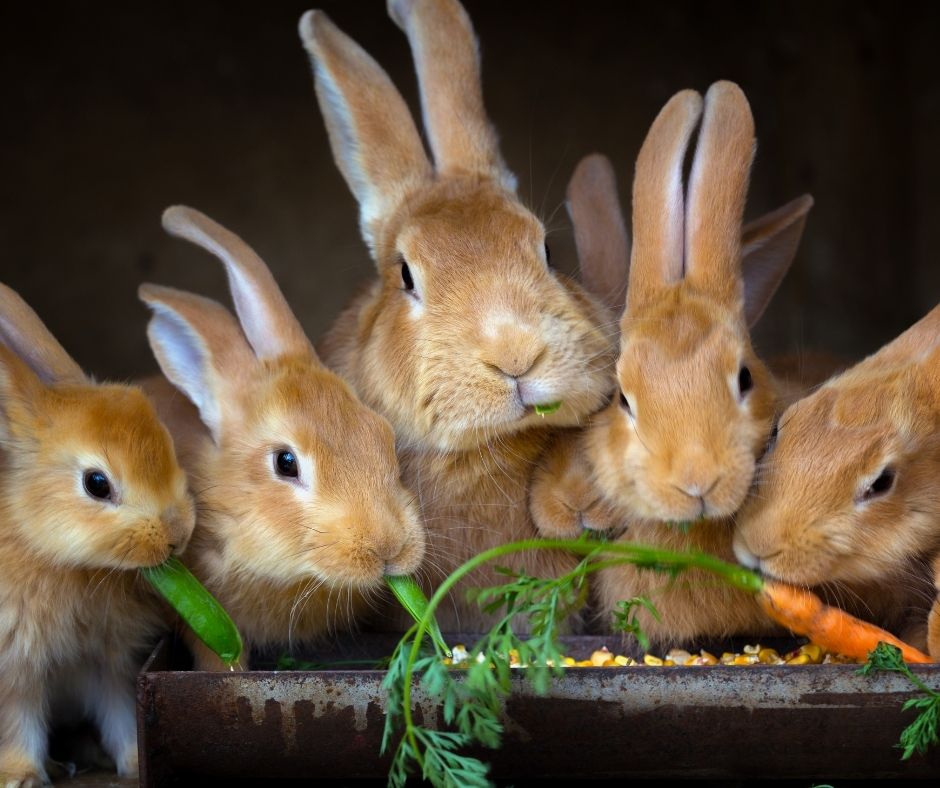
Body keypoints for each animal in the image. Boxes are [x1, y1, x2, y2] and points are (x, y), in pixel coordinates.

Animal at [0, 283, 195, 787]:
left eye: (167, 443)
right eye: (97, 484)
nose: (178, 534)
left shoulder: (108, 662)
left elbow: (120, 713)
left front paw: (132, 762)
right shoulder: (17, 668)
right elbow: (18, 723)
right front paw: (22, 776)